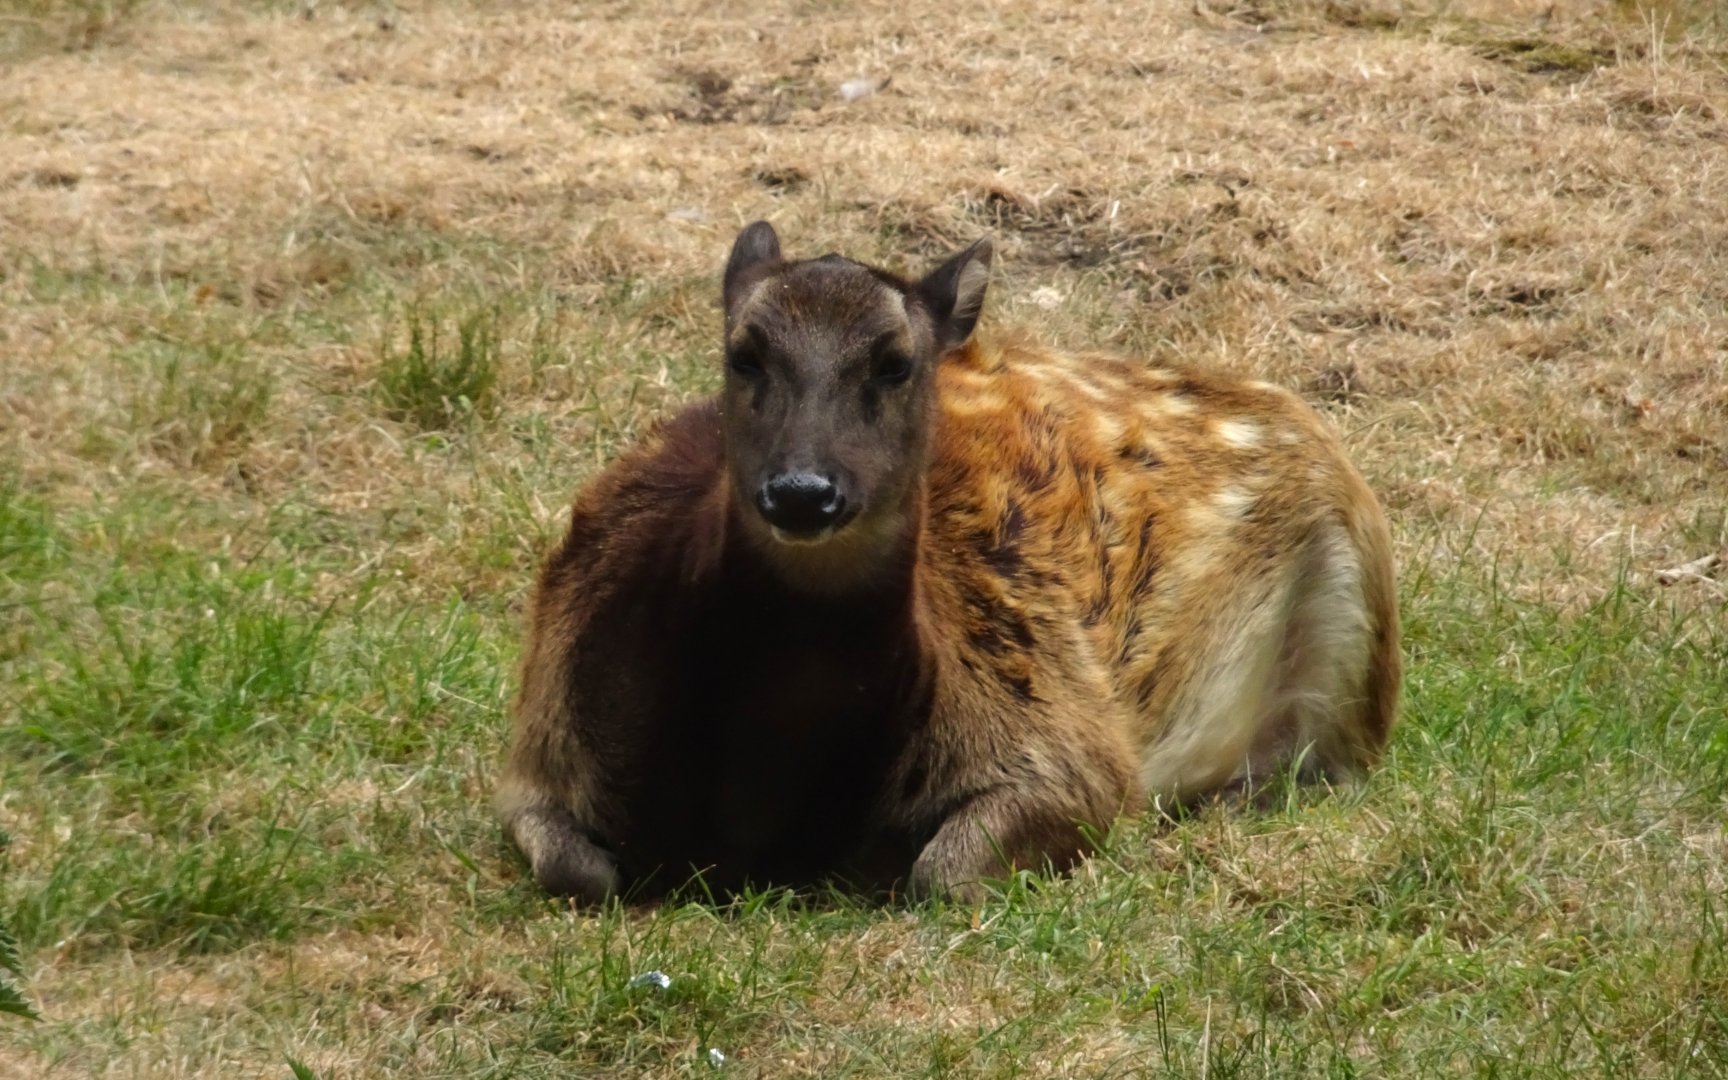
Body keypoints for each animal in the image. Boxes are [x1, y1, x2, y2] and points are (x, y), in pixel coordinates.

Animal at [496, 221, 1400, 905]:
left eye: (895, 362)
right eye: (744, 354)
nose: (802, 492)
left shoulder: (1065, 739)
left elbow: (944, 872)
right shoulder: (538, 741)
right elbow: (581, 870)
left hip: (1357, 640)